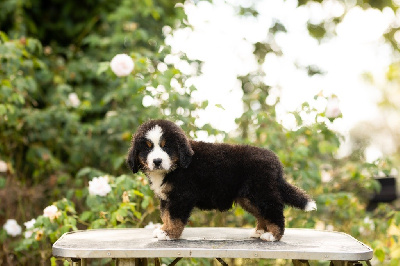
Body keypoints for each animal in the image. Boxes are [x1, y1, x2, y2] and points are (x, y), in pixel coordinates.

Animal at [126, 119, 318, 242]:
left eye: (166, 146)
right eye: (148, 148)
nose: (157, 161)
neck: (177, 165)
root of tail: (275, 162)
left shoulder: (181, 197)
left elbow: (174, 217)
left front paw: (169, 234)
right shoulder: (167, 198)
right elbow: (166, 215)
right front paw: (163, 230)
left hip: (262, 192)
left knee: (274, 211)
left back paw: (273, 235)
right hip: (249, 197)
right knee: (262, 213)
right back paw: (259, 231)